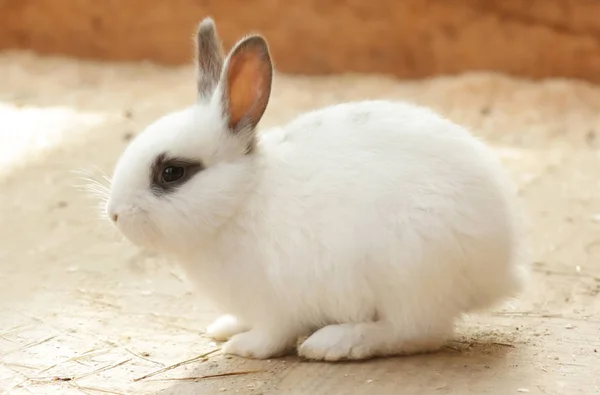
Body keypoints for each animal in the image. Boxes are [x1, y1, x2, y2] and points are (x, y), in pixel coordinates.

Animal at [106, 17, 524, 362]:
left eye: (172, 172)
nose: (114, 214)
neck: (240, 201)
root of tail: (501, 266)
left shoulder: (275, 304)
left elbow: (272, 336)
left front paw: (242, 347)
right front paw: (226, 327)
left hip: (408, 274)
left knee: (416, 332)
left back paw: (332, 344)